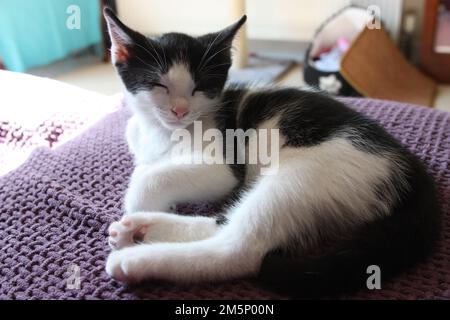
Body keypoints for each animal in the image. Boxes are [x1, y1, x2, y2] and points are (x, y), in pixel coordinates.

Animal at [103, 8, 440, 298]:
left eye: (199, 87)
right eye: (158, 85)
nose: (180, 110)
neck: (164, 132)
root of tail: (408, 168)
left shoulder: (226, 167)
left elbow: (152, 177)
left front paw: (136, 203)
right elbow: (147, 167)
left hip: (302, 177)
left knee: (237, 250)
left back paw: (136, 258)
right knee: (224, 223)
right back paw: (142, 229)